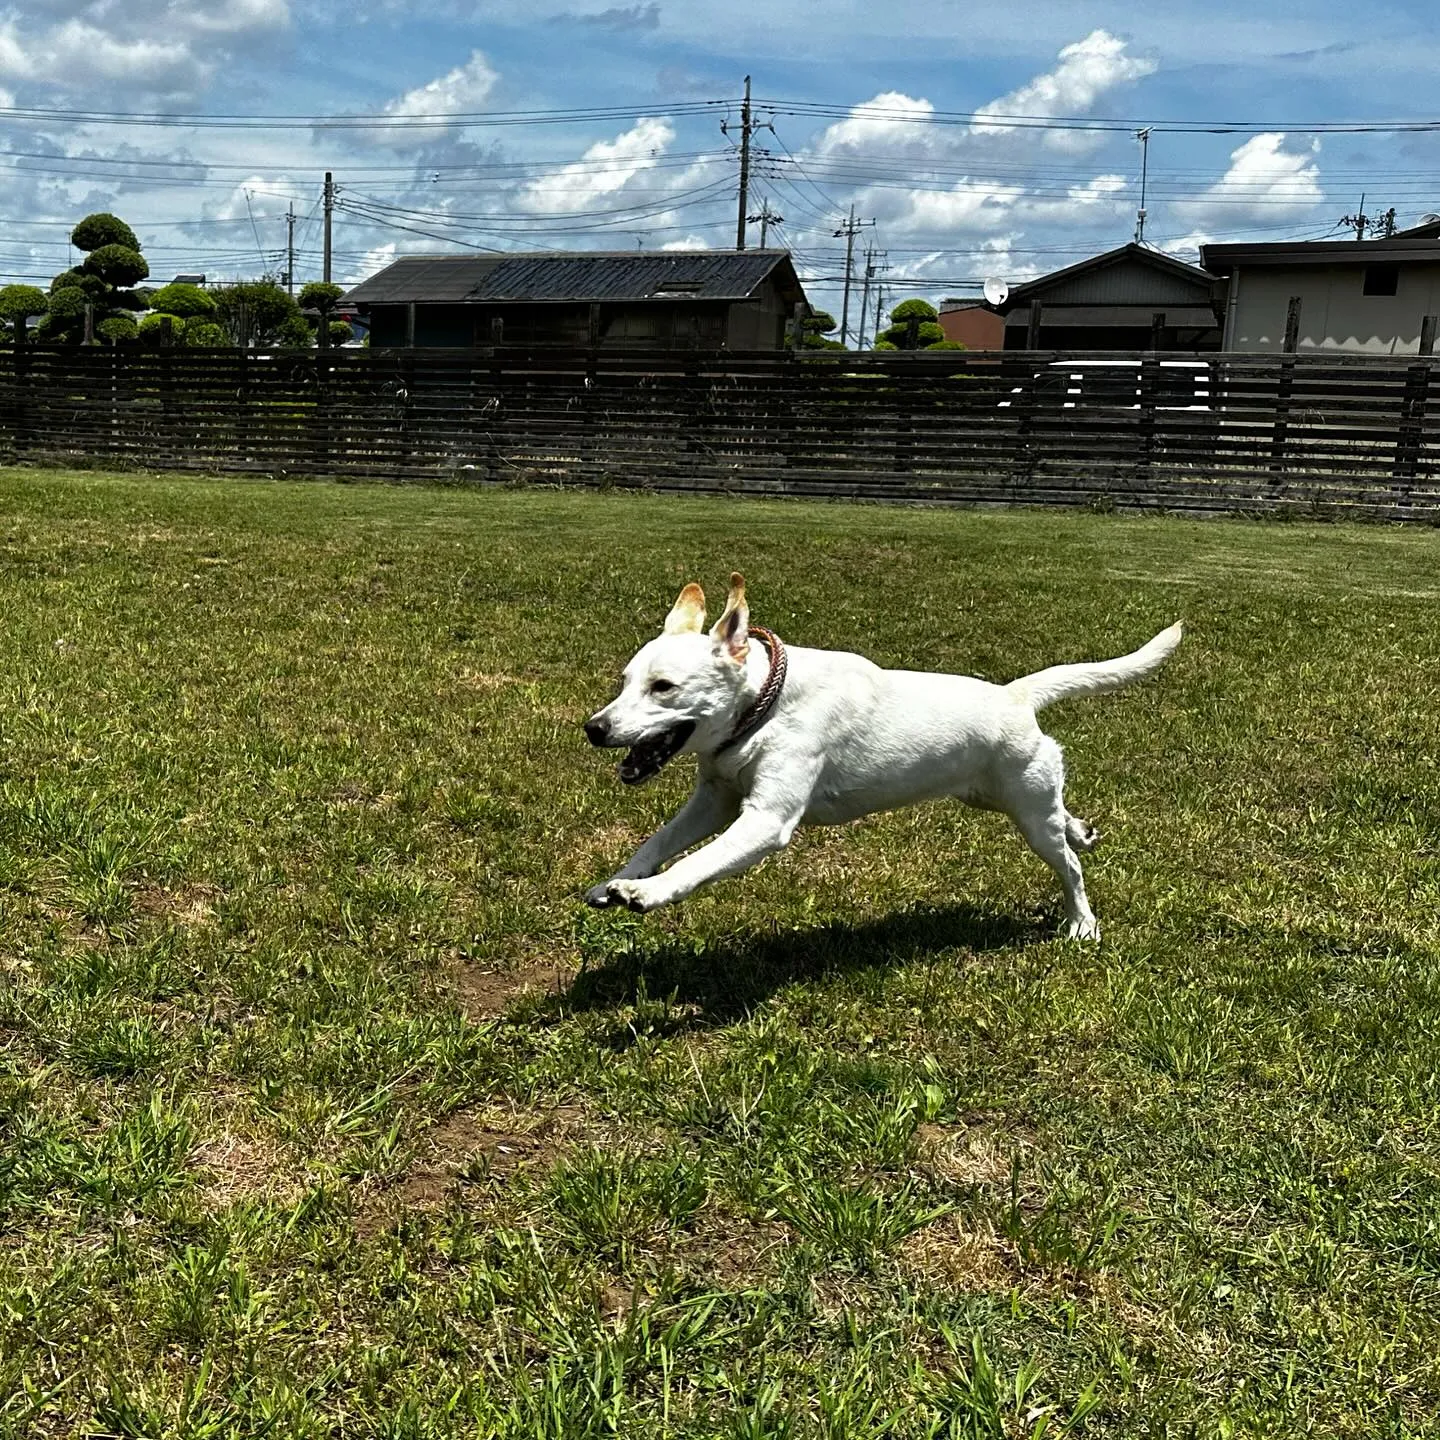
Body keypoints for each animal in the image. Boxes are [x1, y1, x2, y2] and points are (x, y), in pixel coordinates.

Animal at [584, 573, 1180, 944]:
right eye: (625, 681)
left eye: (664, 687)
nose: (594, 728)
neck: (762, 707)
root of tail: (1015, 696)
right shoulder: (715, 800)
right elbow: (658, 842)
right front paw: (614, 881)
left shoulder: (764, 821)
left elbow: (697, 863)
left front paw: (646, 891)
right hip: (995, 798)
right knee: (1064, 821)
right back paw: (1081, 829)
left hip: (1028, 814)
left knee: (1070, 867)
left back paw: (1082, 923)